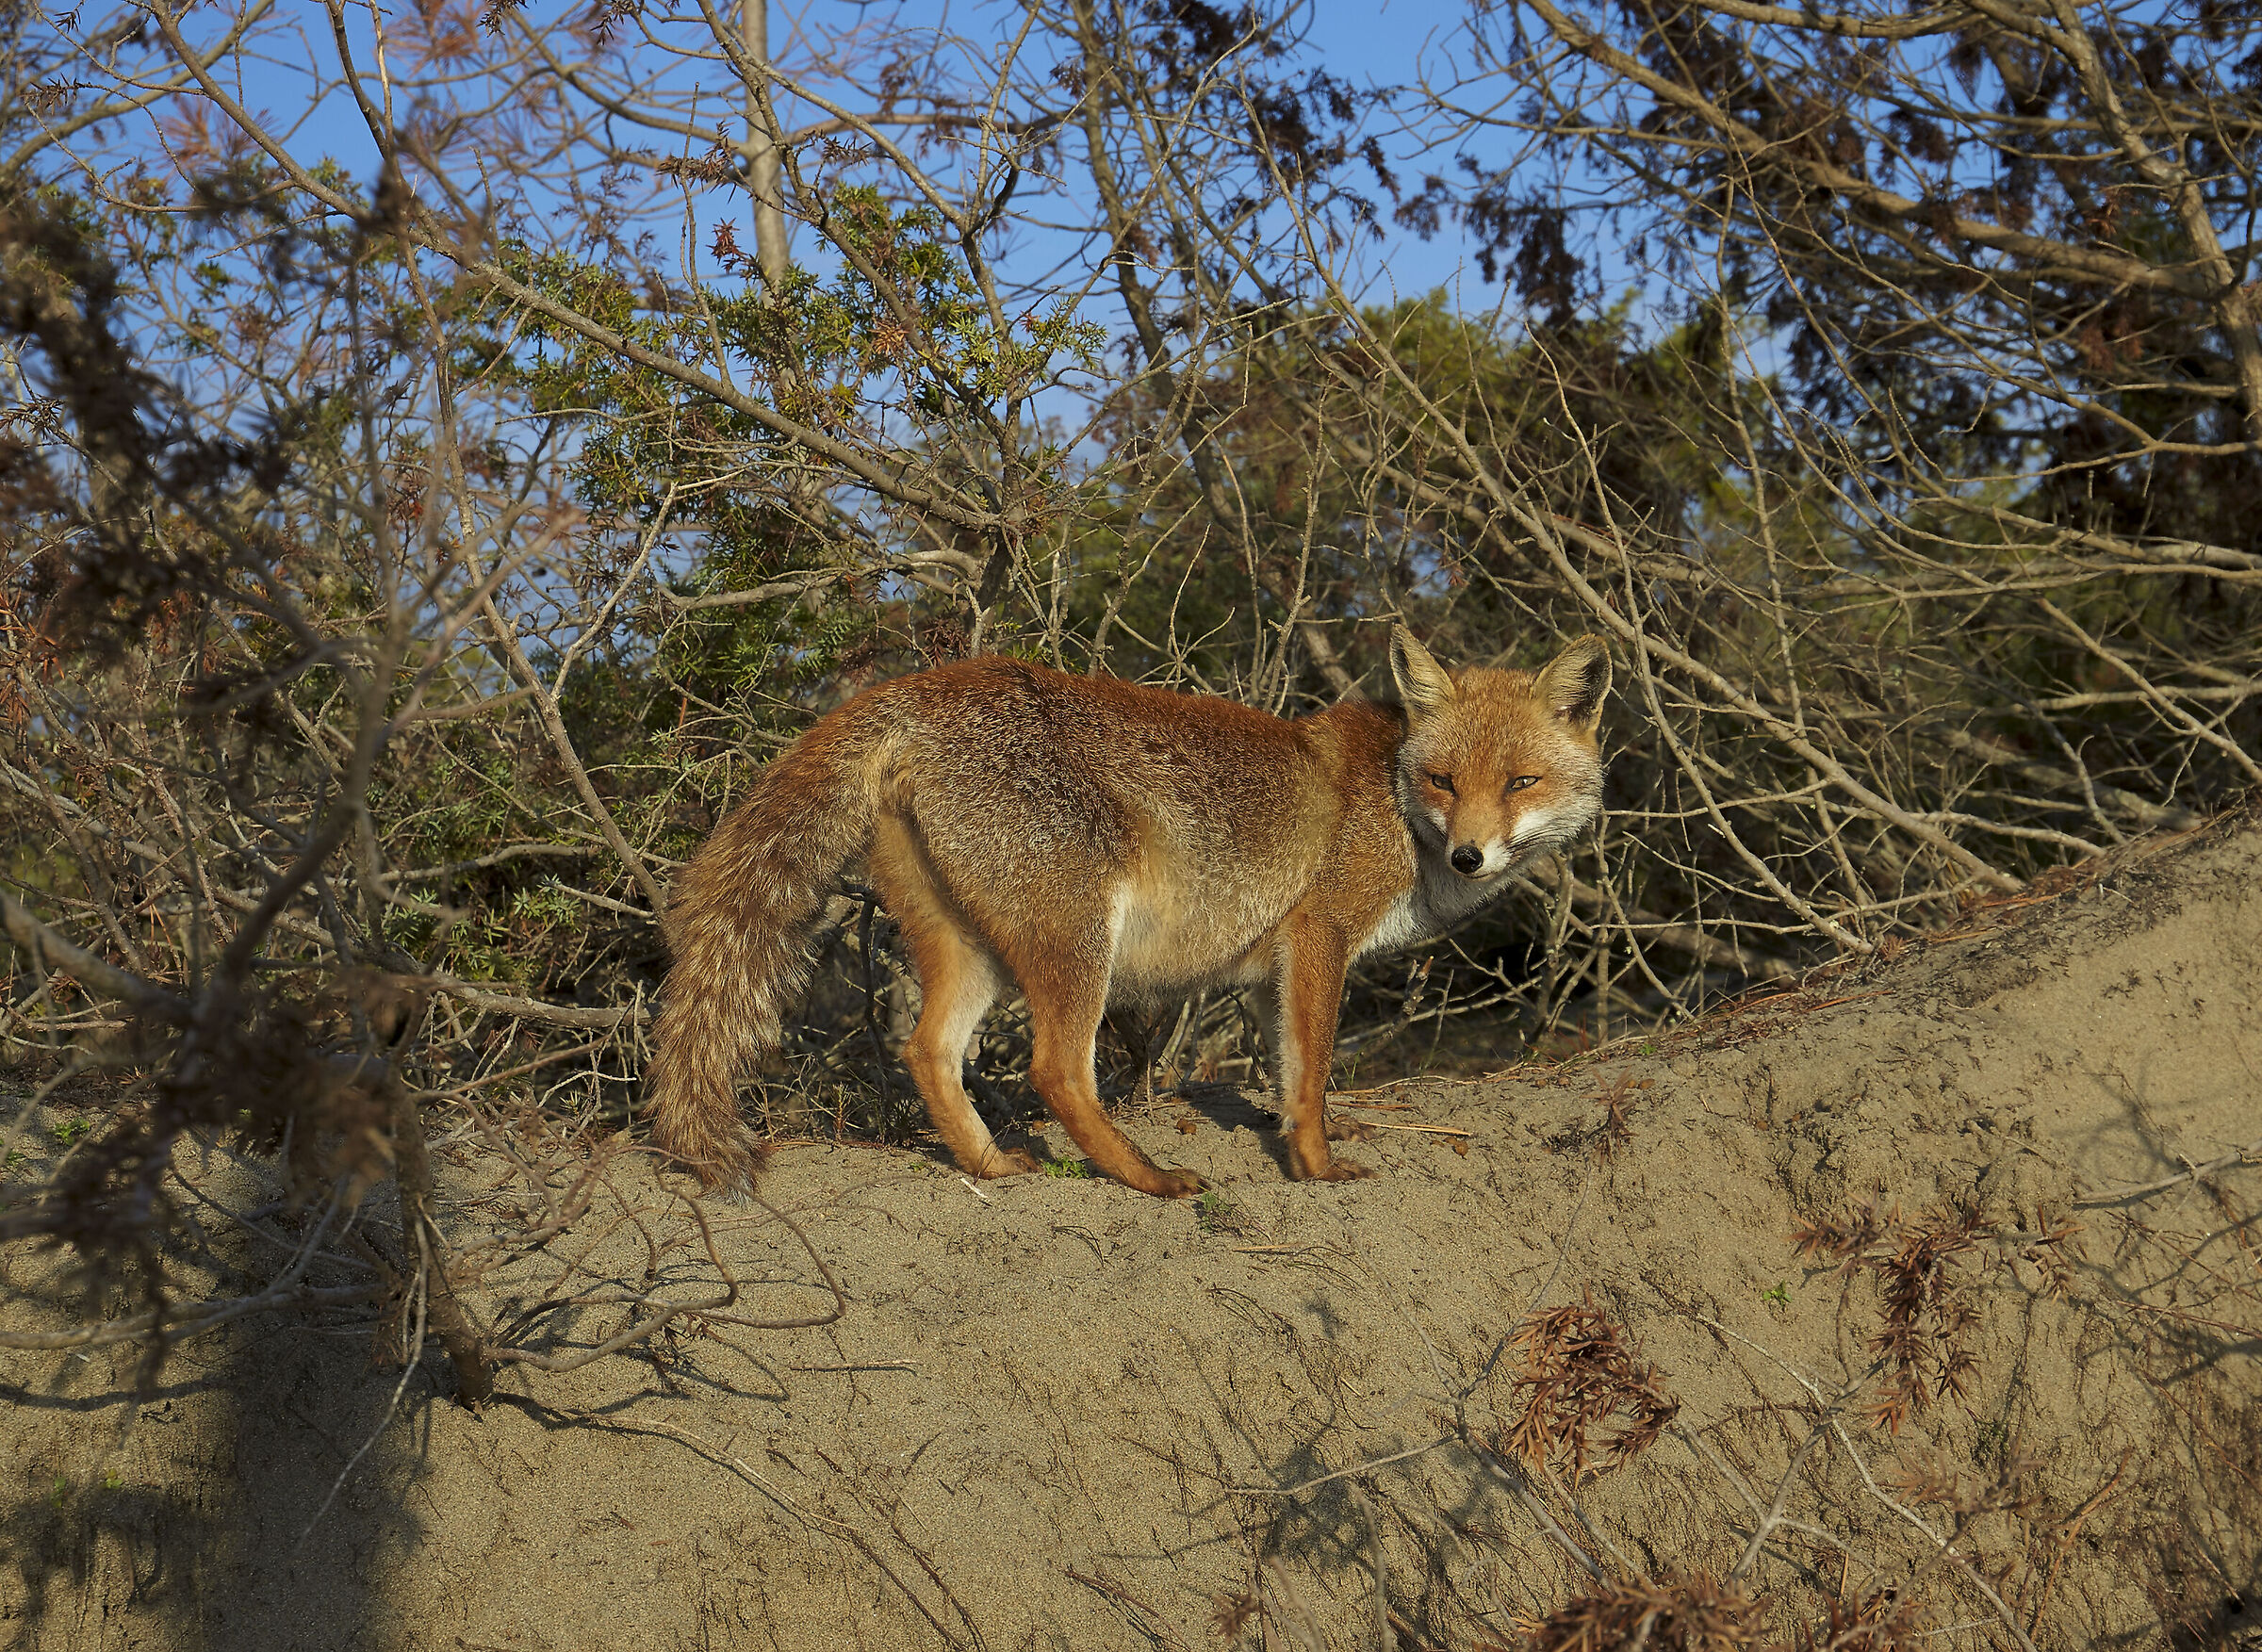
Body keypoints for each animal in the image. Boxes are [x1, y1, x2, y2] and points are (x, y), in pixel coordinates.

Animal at [645, 626, 1611, 1197]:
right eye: (1444, 780)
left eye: (1520, 781)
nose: (1470, 854)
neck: (1390, 797)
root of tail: (923, 686)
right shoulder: (1320, 934)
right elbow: (1311, 1076)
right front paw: (1317, 1168)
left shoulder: (1276, 965)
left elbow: (1287, 1072)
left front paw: (1302, 1144)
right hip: (1079, 940)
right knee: (1056, 1071)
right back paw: (1145, 1177)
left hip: (974, 948)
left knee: (928, 1050)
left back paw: (988, 1163)